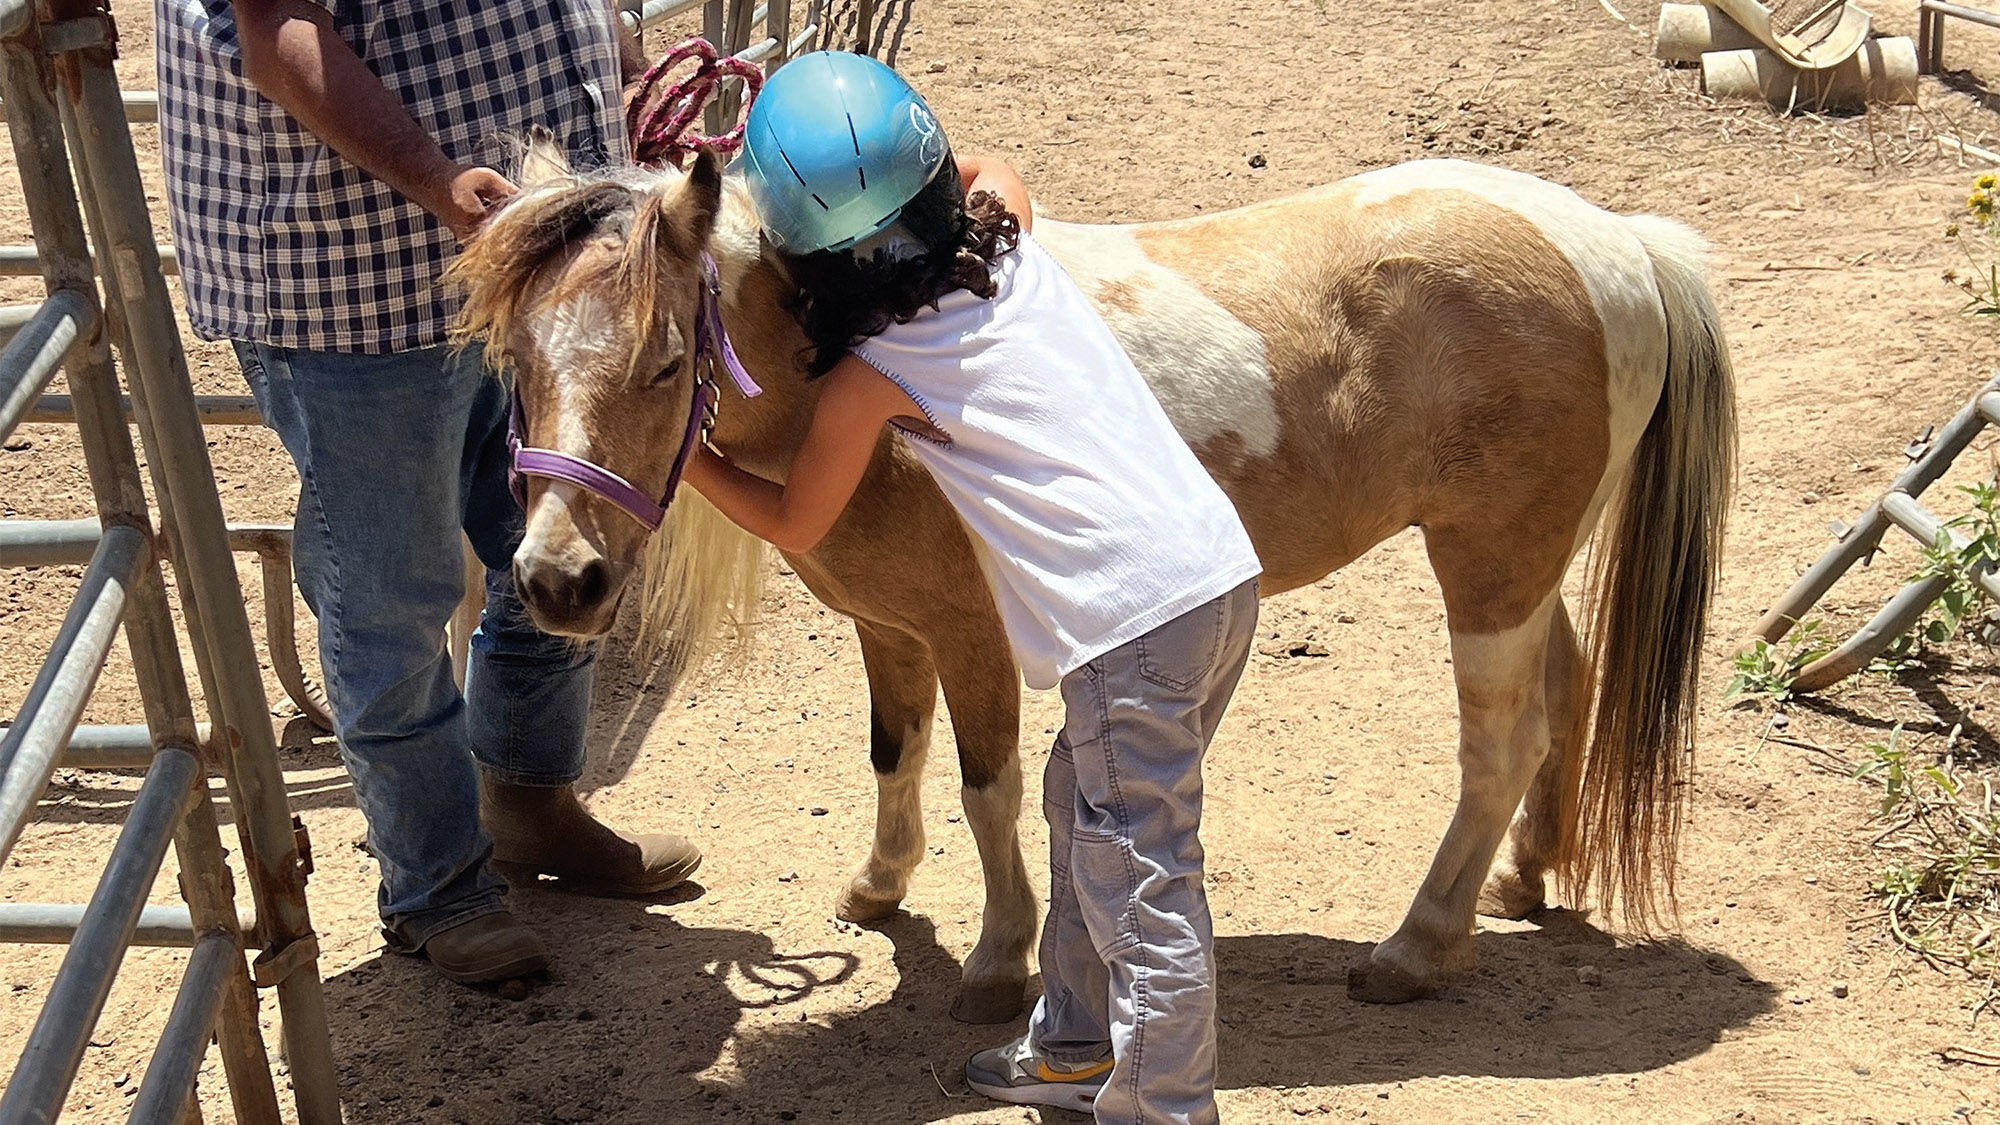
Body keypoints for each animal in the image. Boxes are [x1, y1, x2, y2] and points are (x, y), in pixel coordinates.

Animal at [450, 138, 1736, 1016]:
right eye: (513, 358)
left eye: (667, 361)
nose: (557, 579)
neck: (852, 356)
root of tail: (1618, 243)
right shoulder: (889, 629)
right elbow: (892, 753)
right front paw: (876, 888)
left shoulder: (968, 634)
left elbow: (987, 789)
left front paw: (996, 960)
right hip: (1519, 567)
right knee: (1564, 689)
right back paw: (1520, 880)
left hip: (1487, 569)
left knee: (1498, 745)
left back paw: (1418, 945)